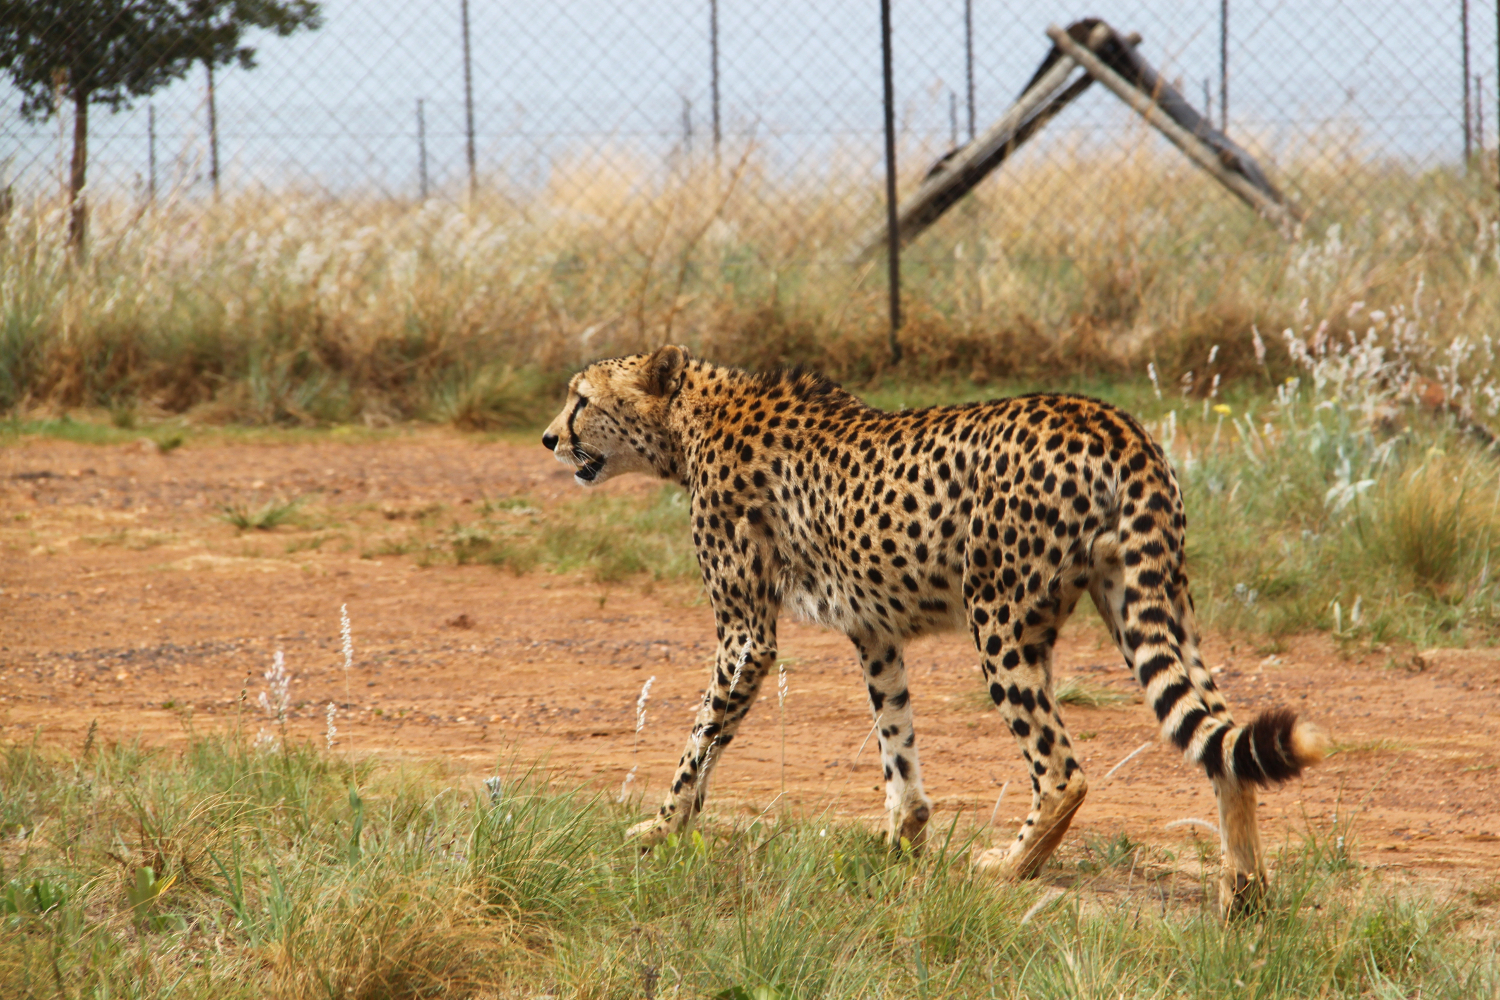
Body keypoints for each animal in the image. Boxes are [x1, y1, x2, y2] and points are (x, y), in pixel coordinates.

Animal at [543, 347, 1326, 911]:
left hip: (1001, 620)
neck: (691, 419)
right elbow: (896, 737)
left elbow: (702, 737)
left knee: (1062, 770)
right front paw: (902, 836)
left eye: (581, 398)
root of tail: (1112, 421)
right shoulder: (873, 629)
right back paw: (1245, 892)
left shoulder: (745, 635)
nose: (551, 437)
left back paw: (1009, 867)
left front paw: (663, 828)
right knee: (1222, 739)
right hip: (1151, 605)